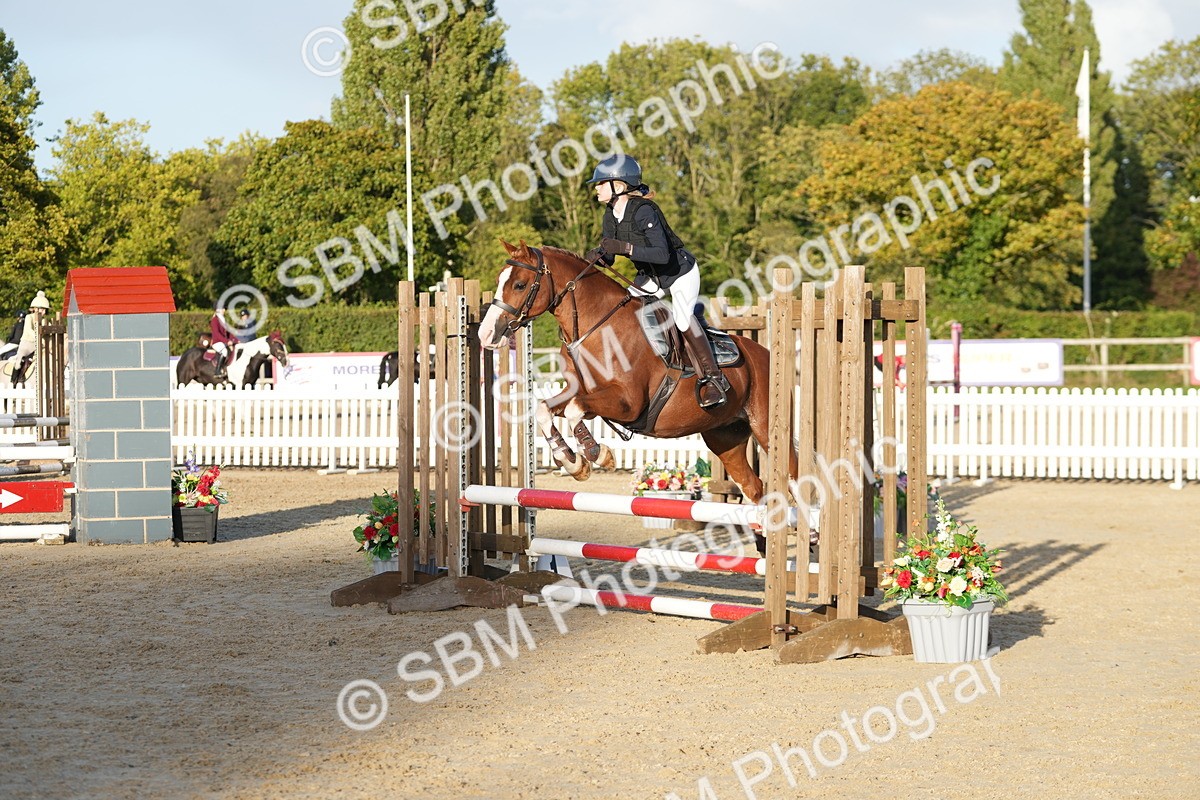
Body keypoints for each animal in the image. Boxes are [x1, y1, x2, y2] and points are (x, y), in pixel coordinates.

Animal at [477, 241, 795, 504]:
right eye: (499, 281)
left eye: (520, 285)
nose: (486, 334)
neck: (596, 327)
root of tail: (767, 354)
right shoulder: (583, 394)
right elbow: (546, 409)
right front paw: (572, 462)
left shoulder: (627, 403)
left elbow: (573, 411)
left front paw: (597, 454)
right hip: (725, 436)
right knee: (754, 488)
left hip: (766, 429)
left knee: (793, 478)